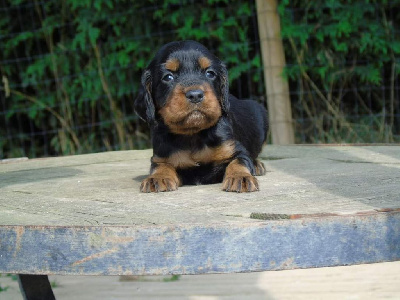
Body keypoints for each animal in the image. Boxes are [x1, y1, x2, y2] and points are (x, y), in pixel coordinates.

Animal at [135, 39, 268, 192]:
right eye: (168, 77)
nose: (195, 95)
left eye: (210, 73)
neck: (193, 134)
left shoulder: (234, 149)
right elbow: (161, 166)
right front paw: (157, 178)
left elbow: (239, 161)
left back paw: (257, 165)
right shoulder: (161, 156)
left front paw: (241, 177)